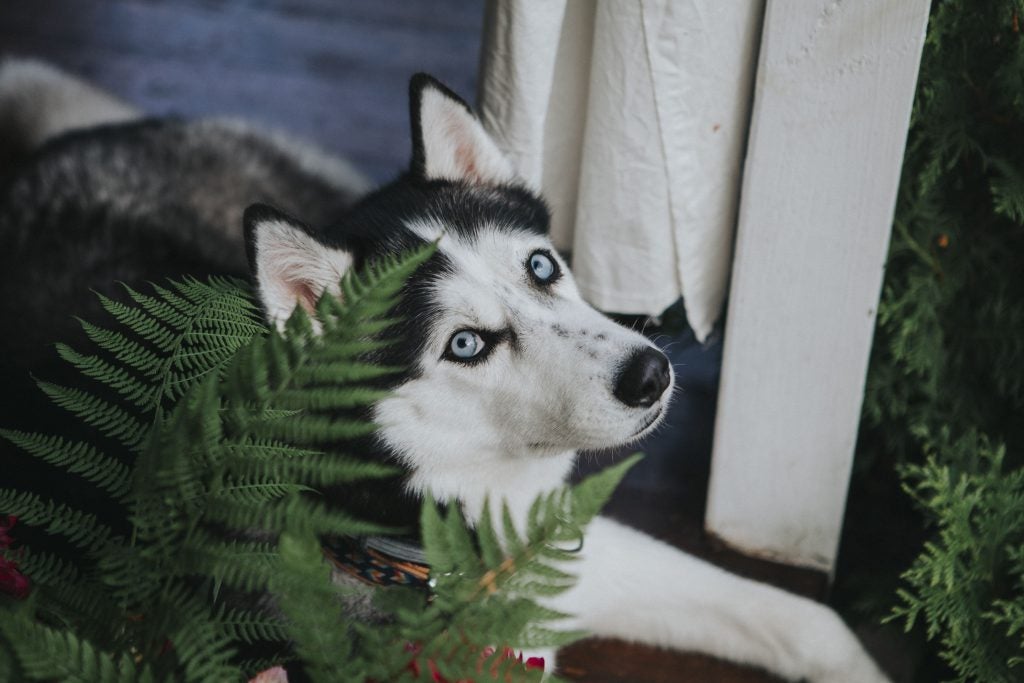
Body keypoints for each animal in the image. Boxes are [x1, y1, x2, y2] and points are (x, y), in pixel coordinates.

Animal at [0, 61, 888, 679]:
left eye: (541, 266)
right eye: (466, 344)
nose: (650, 373)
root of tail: (62, 151)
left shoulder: (572, 551)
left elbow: (809, 622)